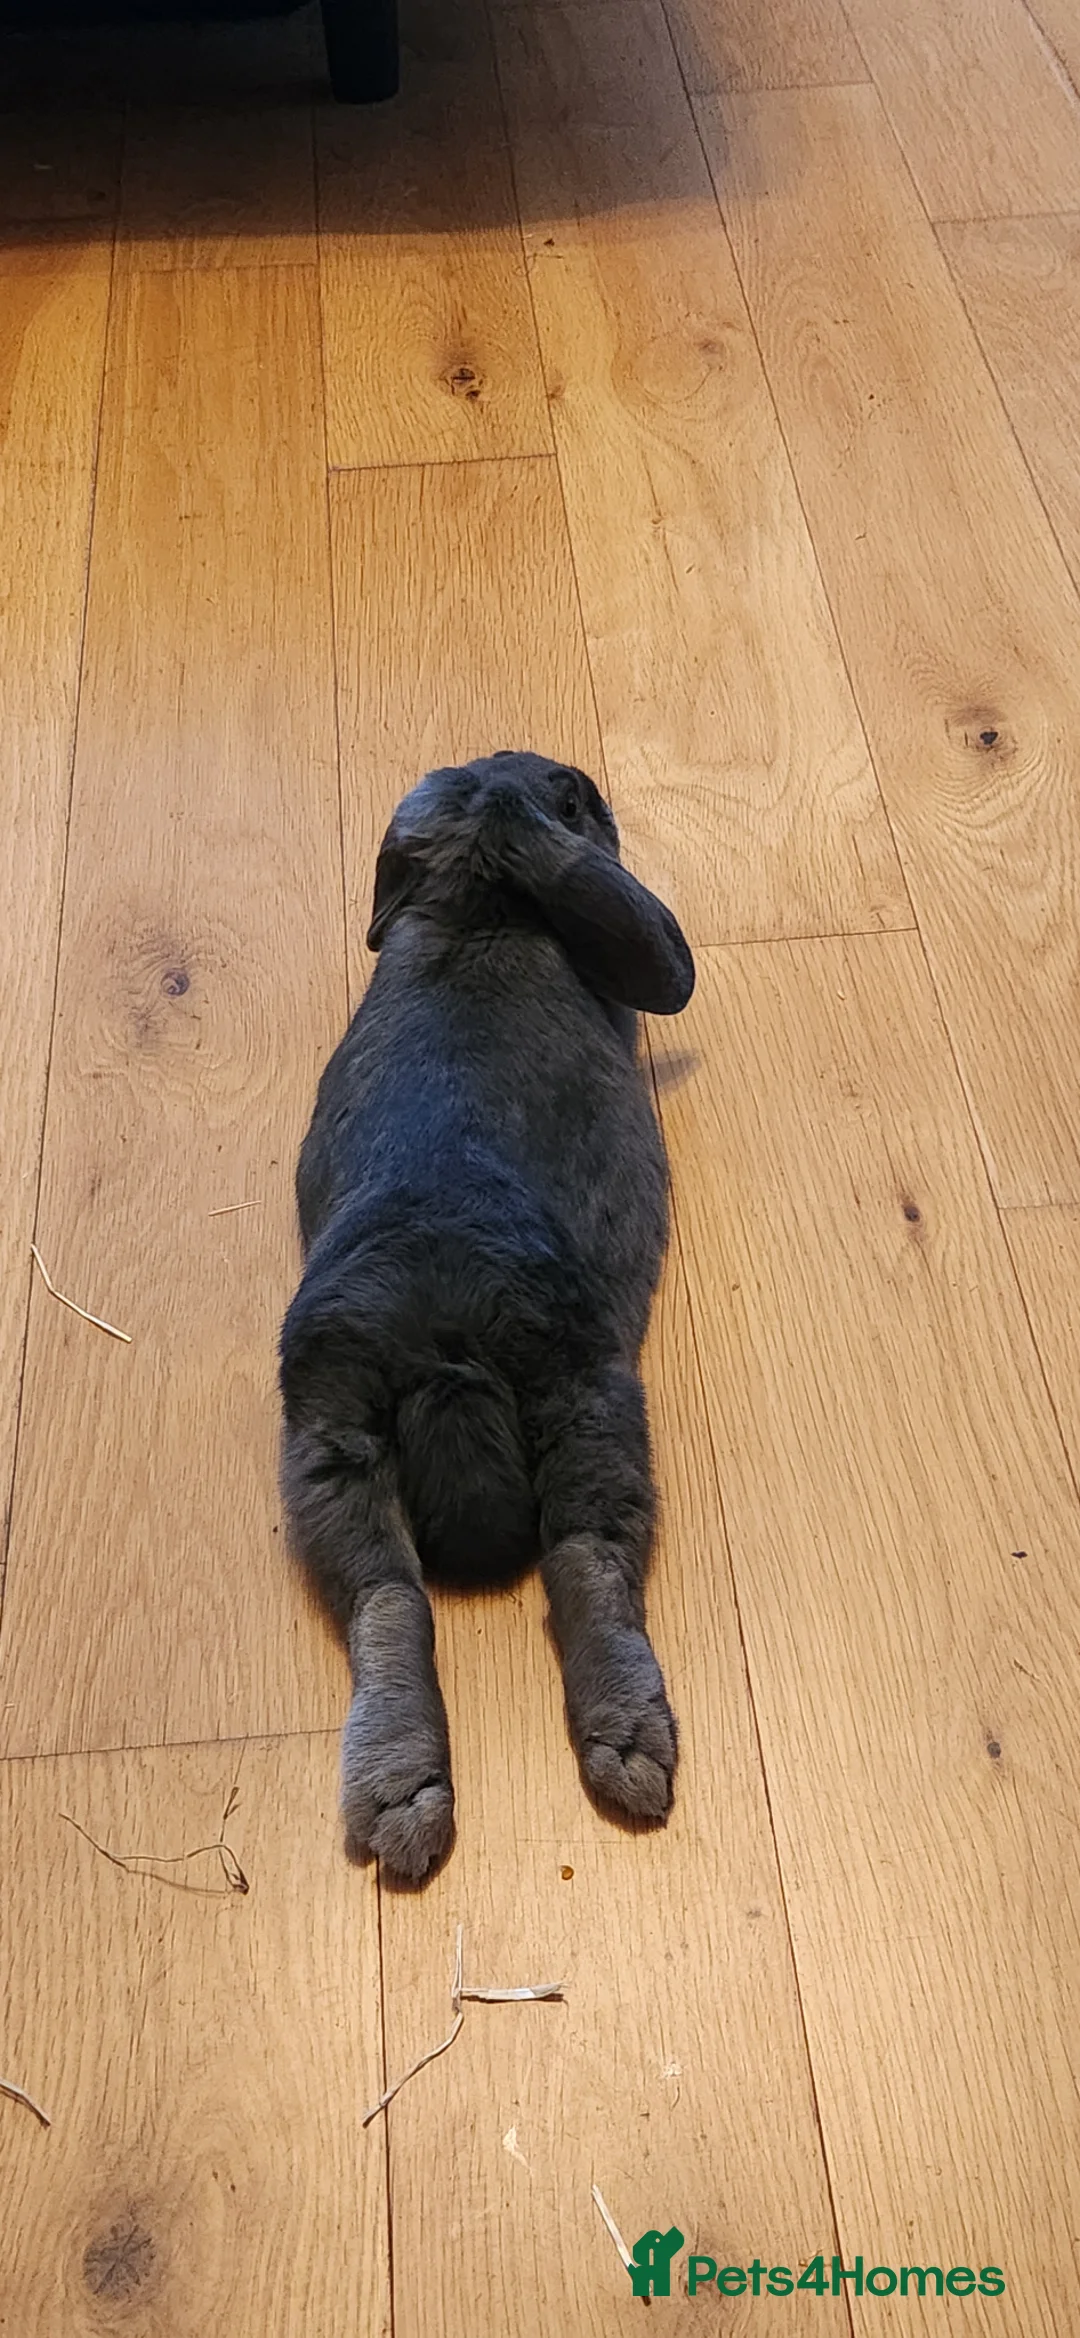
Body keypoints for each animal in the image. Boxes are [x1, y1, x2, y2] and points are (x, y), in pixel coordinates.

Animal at [278, 750, 695, 1882]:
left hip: (326, 1436)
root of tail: (444, 1345)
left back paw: (399, 1791)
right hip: (588, 1390)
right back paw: (629, 1746)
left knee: (386, 1597)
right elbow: (666, 963)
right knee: (585, 1552)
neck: (478, 900)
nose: (561, 780)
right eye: (578, 796)